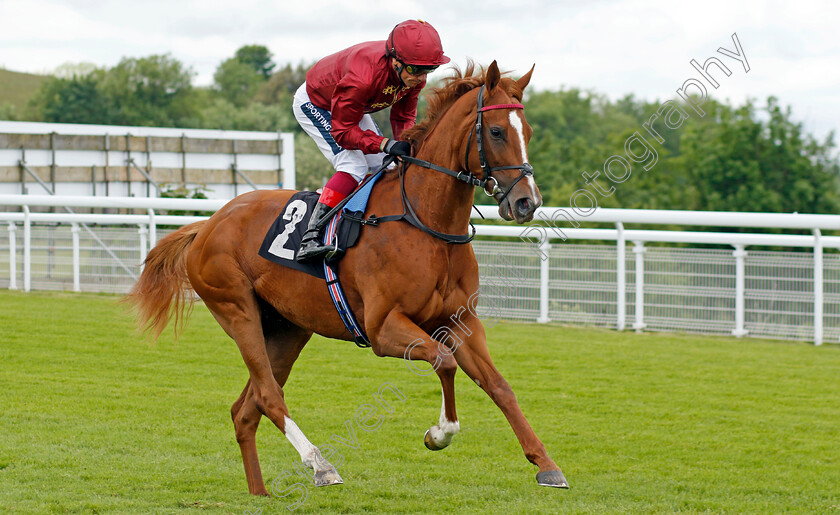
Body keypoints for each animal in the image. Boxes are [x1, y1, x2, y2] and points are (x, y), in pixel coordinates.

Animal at [126, 59, 572, 496]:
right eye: (496, 131)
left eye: (528, 131)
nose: (527, 202)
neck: (426, 223)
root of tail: (207, 225)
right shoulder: (383, 328)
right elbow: (443, 362)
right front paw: (439, 433)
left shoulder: (460, 321)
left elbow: (500, 386)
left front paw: (547, 466)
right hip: (237, 311)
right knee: (268, 396)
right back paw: (321, 466)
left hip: (288, 330)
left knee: (245, 409)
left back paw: (260, 492)